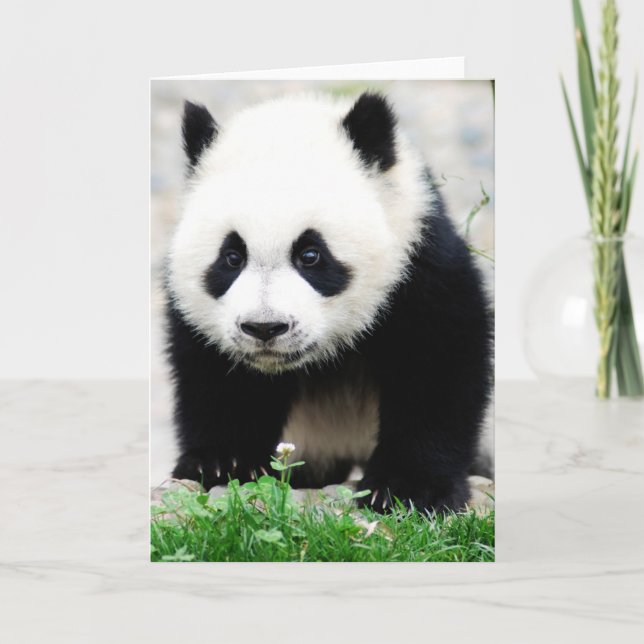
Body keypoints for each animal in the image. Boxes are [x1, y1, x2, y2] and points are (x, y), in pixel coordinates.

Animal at [165, 91, 492, 513]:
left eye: (310, 255)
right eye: (232, 257)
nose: (265, 328)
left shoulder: (419, 259)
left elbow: (438, 363)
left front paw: (408, 488)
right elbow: (214, 376)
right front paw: (223, 462)